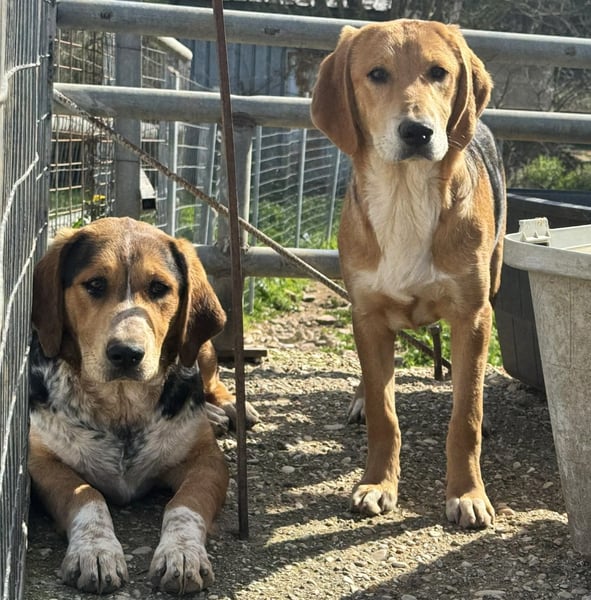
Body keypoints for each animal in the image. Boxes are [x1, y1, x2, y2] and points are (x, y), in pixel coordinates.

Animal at [29, 217, 242, 594]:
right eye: (95, 284)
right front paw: (95, 552)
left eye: (159, 288)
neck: (122, 405)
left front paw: (182, 554)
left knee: (211, 379)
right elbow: (86, 497)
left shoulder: (209, 463)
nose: (126, 353)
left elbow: (184, 504)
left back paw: (224, 409)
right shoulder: (42, 463)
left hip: (200, 348)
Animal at [311, 19, 505, 528]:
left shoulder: (473, 316)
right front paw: (378, 484)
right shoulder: (368, 315)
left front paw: (467, 493)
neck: (405, 199)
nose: (418, 132)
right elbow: (385, 414)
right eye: (376, 74)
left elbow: (465, 417)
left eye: (439, 72)